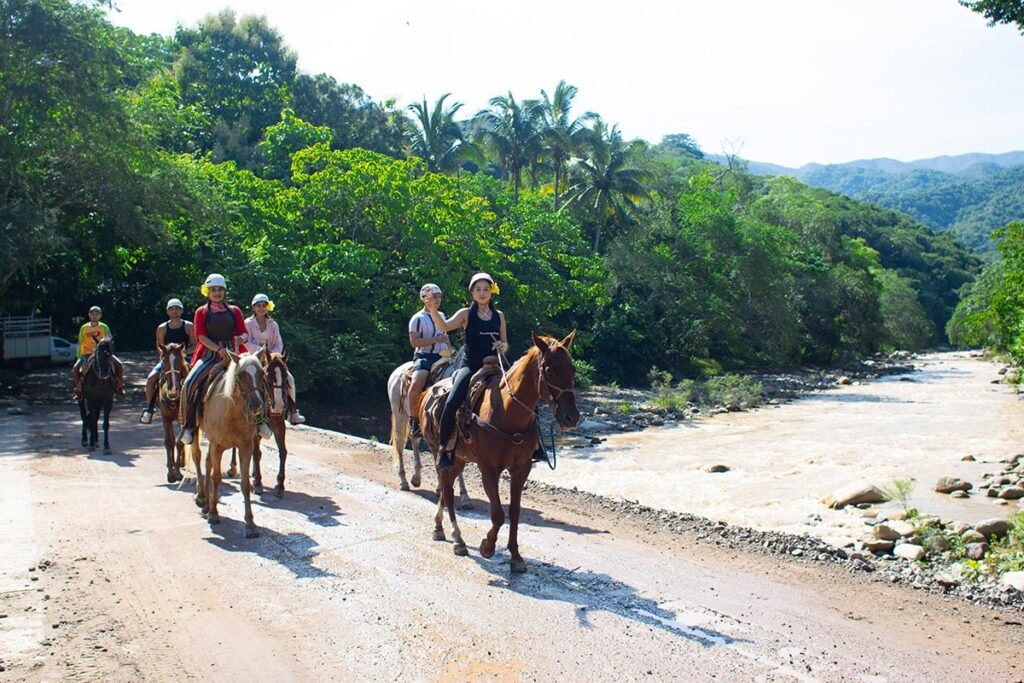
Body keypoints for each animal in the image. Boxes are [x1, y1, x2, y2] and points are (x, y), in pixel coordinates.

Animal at [187, 352, 268, 540]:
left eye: (262, 373)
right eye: (241, 375)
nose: (256, 405)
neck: (232, 412)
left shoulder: (245, 447)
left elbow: (245, 484)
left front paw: (250, 524)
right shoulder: (217, 445)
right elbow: (216, 477)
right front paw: (214, 514)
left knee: (207, 462)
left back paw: (206, 502)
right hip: (197, 432)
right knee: (198, 457)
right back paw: (202, 497)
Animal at [387, 352, 471, 507]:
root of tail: (397, 370)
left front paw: (464, 496)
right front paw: (443, 489)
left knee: (414, 440)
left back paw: (416, 478)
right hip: (400, 415)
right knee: (400, 444)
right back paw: (404, 482)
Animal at [415, 331, 577, 573]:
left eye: (572, 369)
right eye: (549, 370)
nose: (571, 417)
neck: (508, 412)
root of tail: (428, 392)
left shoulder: (521, 469)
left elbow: (514, 512)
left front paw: (516, 557)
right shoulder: (489, 469)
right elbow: (498, 514)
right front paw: (487, 546)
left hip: (458, 459)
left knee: (446, 487)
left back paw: (439, 528)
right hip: (438, 453)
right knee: (447, 490)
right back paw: (458, 540)